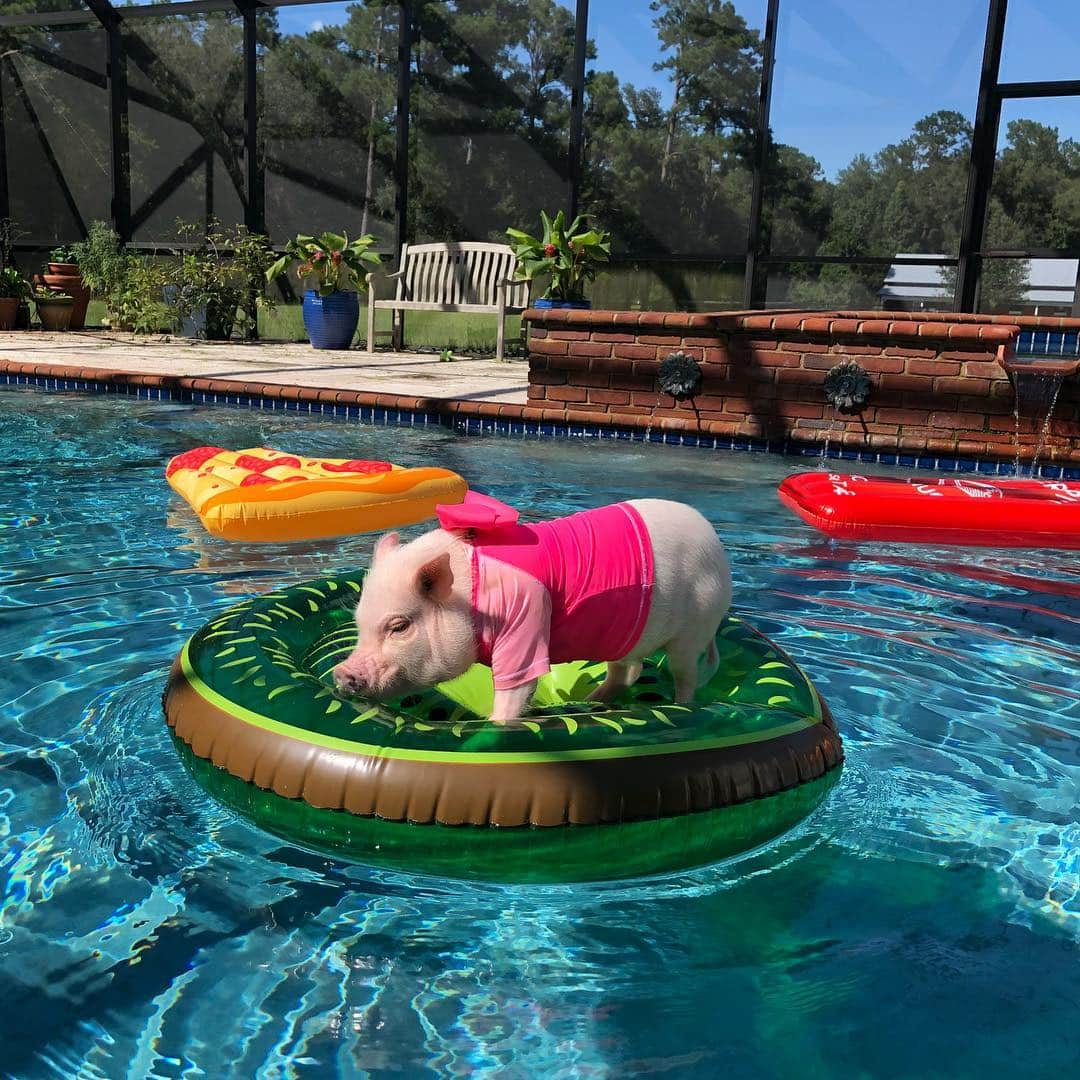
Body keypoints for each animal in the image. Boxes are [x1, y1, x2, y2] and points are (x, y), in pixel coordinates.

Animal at [332, 496, 730, 725]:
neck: (471, 596)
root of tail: (716, 545)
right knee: (627, 672)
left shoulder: (525, 617)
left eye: (399, 626)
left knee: (686, 676)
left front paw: (494, 724)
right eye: (359, 624)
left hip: (694, 629)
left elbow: (518, 688)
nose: (341, 672)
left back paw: (679, 707)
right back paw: (589, 702)